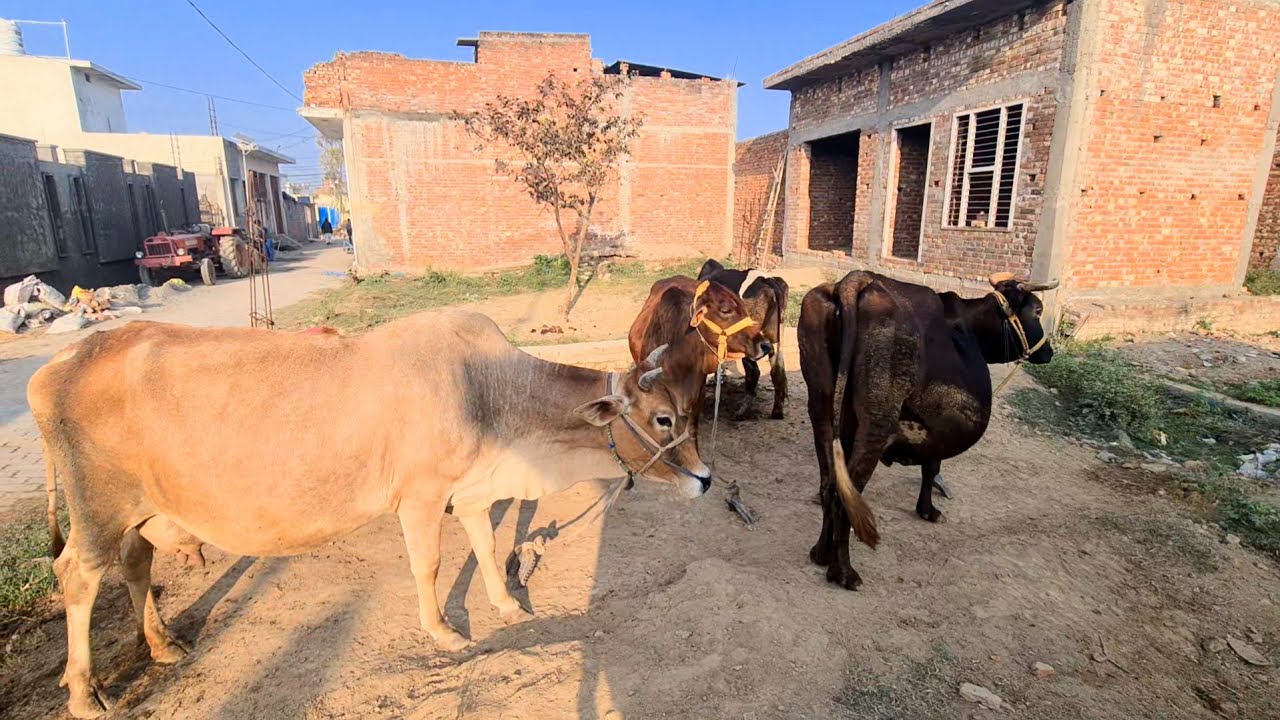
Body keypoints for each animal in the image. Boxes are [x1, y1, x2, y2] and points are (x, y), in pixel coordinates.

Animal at [30, 311, 711, 718]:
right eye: (664, 418)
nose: (705, 480)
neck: (487, 390)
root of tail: (60, 364)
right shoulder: (420, 496)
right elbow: (429, 565)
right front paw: (442, 630)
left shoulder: (471, 490)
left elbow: (487, 547)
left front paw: (507, 604)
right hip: (97, 509)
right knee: (78, 578)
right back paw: (85, 692)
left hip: (137, 511)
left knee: (136, 564)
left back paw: (163, 643)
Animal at [696, 259, 790, 419]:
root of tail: (767, 280)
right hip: (777, 337)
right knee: (778, 372)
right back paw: (777, 412)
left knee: (754, 372)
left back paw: (742, 411)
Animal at [798, 271, 1057, 591]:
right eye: (1037, 311)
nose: (1048, 352)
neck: (970, 326)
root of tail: (855, 280)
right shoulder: (938, 429)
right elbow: (932, 468)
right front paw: (928, 510)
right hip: (877, 422)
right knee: (843, 494)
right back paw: (843, 572)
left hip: (821, 407)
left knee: (828, 483)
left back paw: (821, 553)